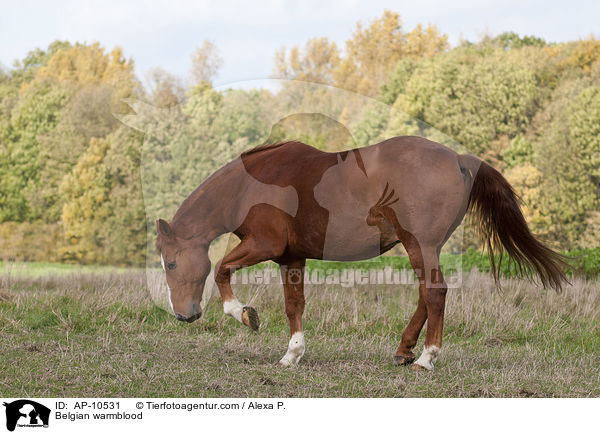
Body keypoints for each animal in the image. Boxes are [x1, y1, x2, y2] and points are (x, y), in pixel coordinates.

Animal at [156, 135, 568, 370]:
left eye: (172, 262)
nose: (184, 315)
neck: (250, 185)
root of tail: (459, 159)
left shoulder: (263, 246)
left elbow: (221, 270)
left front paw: (244, 314)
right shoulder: (291, 258)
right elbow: (294, 305)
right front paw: (293, 354)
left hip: (421, 245)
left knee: (434, 293)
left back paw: (426, 359)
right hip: (422, 248)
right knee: (426, 296)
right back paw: (404, 351)